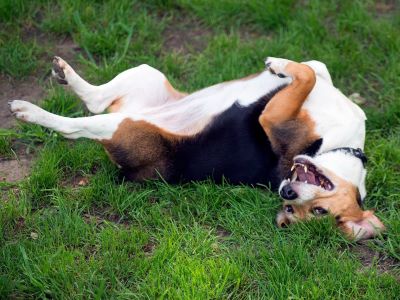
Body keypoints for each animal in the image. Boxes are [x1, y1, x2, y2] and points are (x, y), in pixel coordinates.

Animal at [8, 55, 384, 239]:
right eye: (296, 209)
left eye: (316, 212)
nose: (286, 191)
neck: (342, 146)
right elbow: (312, 70)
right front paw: (279, 66)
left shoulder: (272, 117)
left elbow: (304, 75)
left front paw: (279, 66)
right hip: (146, 75)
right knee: (95, 98)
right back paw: (64, 74)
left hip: (120, 126)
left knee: (76, 125)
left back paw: (29, 110)